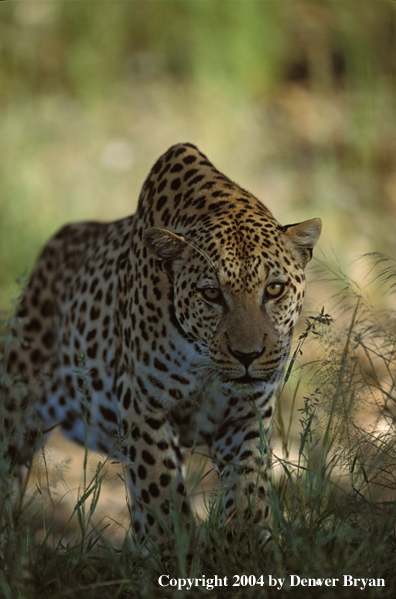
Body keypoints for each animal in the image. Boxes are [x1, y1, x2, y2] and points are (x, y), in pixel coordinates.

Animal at [0, 143, 322, 552]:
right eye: (211, 294)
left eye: (275, 289)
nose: (247, 356)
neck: (203, 363)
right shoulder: (144, 409)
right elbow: (162, 493)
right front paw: (176, 553)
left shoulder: (247, 415)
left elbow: (249, 487)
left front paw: (243, 546)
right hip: (18, 399)